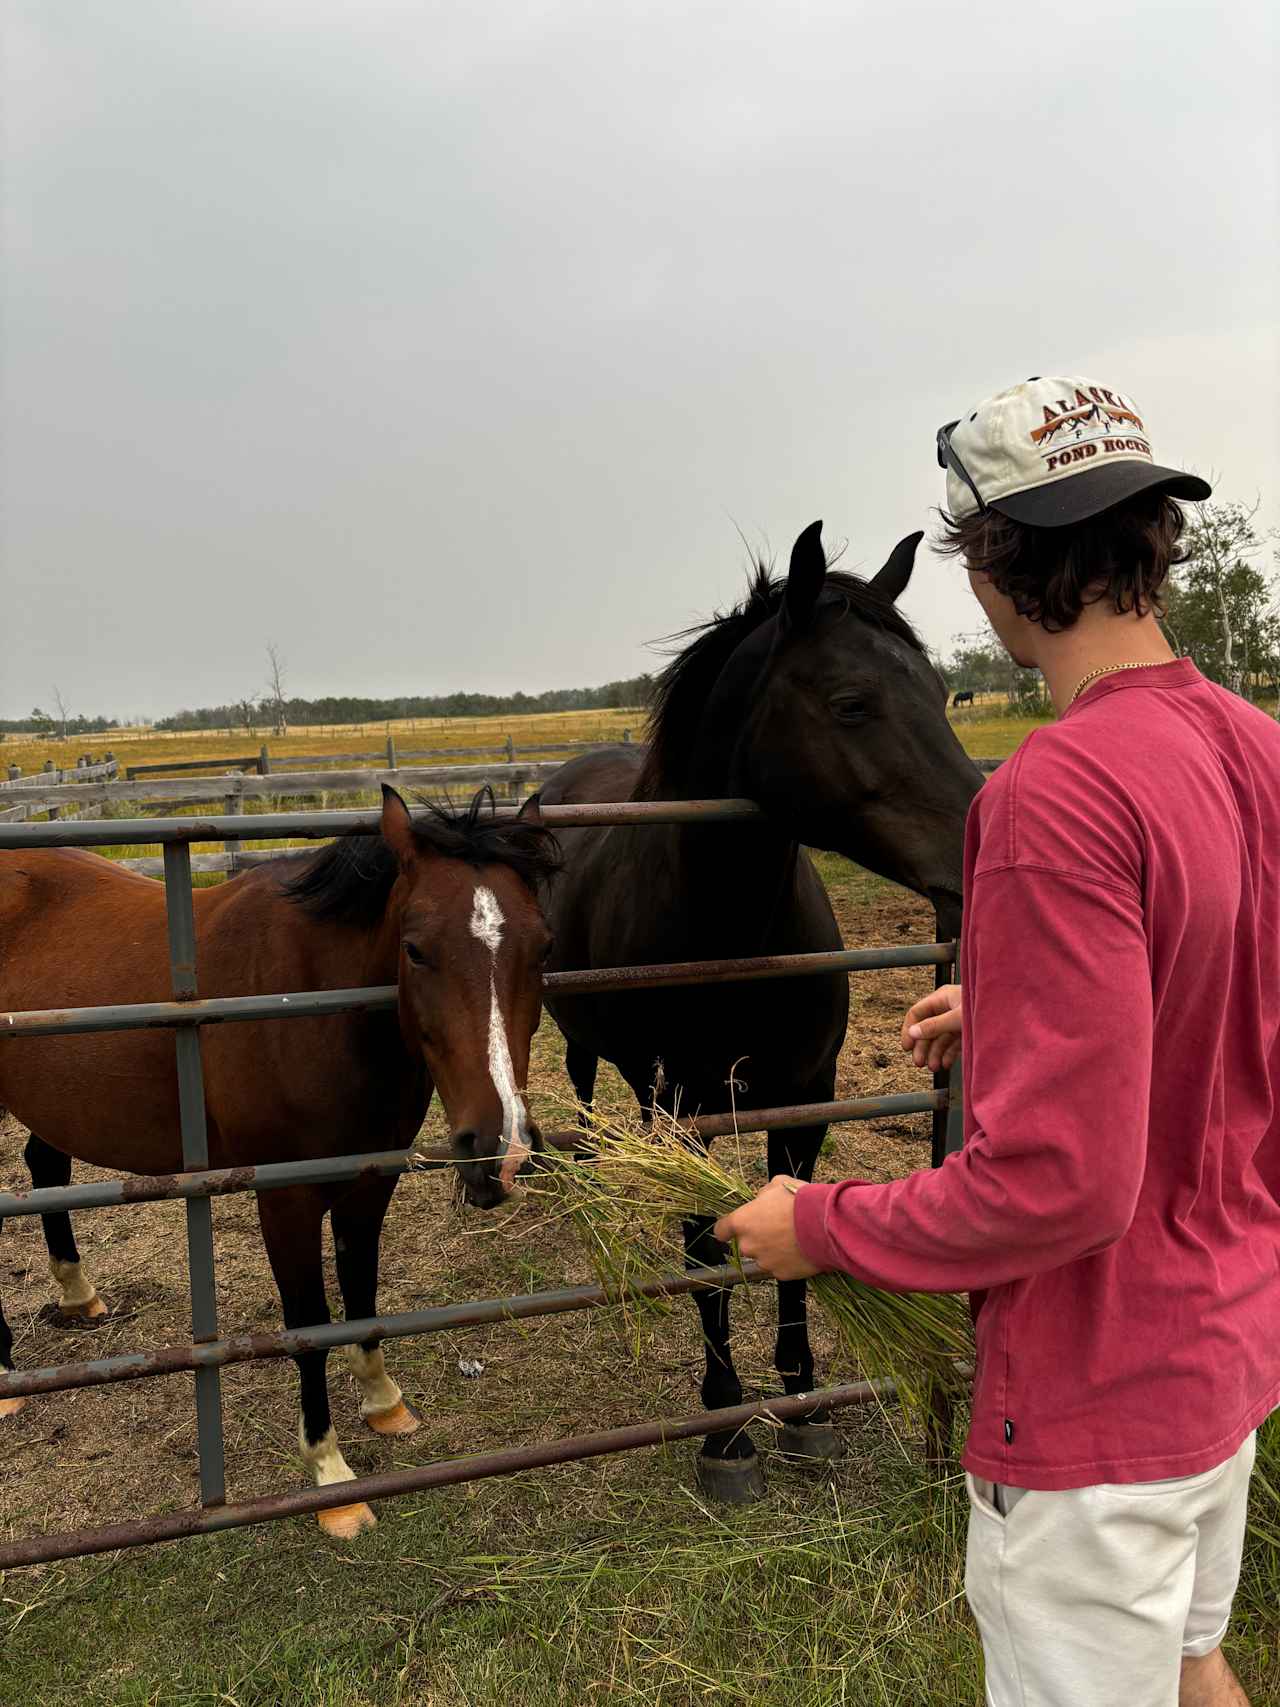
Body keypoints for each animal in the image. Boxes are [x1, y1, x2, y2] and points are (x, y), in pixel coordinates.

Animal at [1, 792, 559, 1543]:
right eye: (416, 949)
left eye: (543, 948)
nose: (501, 1149)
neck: (308, 1004)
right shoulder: (286, 1201)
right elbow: (311, 1326)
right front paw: (332, 1479)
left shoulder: (369, 1182)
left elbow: (362, 1300)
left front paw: (384, 1404)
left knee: (44, 1167)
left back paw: (78, 1295)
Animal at [532, 525, 983, 1502]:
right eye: (852, 703)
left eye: (941, 694)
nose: (984, 835)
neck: (731, 932)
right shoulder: (687, 1114)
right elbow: (706, 1256)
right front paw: (727, 1427)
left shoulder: (804, 1098)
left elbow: (794, 1239)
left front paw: (805, 1409)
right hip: (585, 1040)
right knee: (582, 1088)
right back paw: (590, 1182)